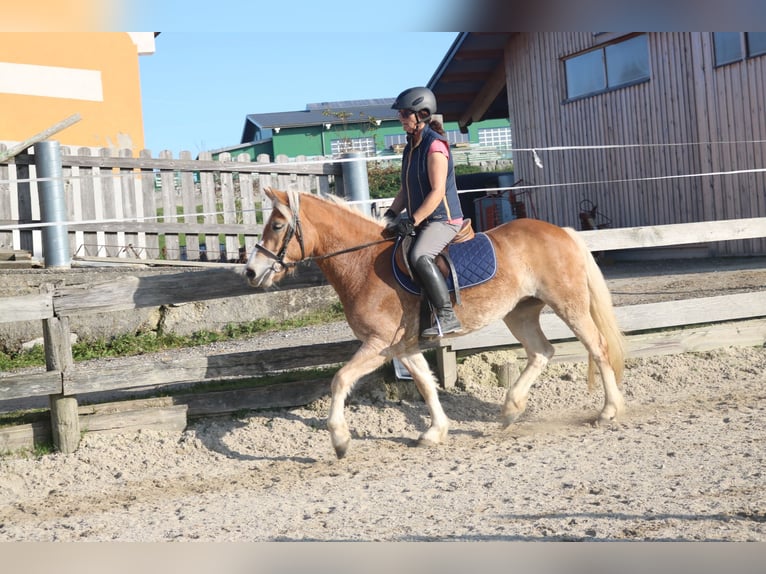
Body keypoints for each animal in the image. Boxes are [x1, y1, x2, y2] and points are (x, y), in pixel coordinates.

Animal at [249, 189, 628, 464]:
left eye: (277, 226)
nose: (251, 271)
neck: (363, 263)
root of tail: (561, 231)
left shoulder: (378, 344)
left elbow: (340, 379)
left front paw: (340, 440)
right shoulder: (402, 346)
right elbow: (426, 385)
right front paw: (435, 432)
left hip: (568, 304)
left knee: (597, 347)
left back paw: (608, 411)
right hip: (519, 312)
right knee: (541, 352)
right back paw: (510, 410)